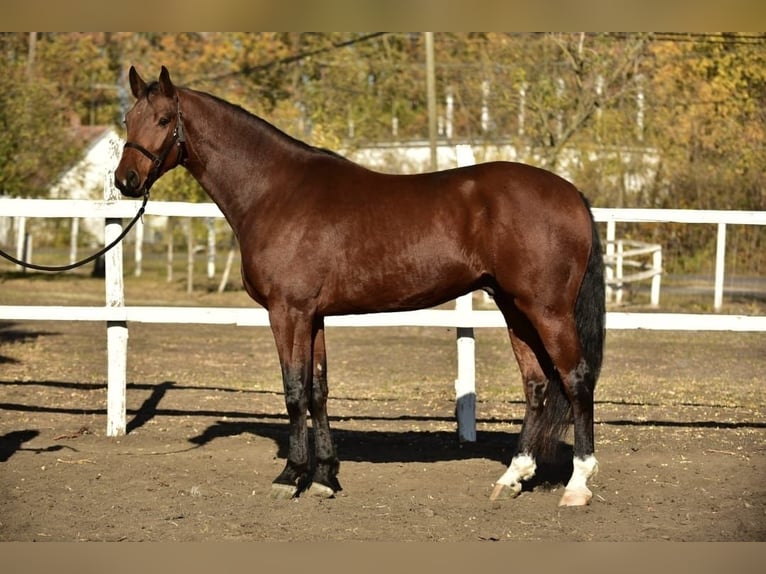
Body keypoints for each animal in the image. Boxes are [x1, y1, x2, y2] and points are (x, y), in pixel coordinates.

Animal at [115, 66, 606, 507]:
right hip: (514, 308)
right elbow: (318, 390)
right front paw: (324, 478)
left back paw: (578, 485)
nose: (126, 181)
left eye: (164, 119)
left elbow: (293, 390)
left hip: (547, 310)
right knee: (537, 384)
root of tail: (571, 194)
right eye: (127, 120)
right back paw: (513, 477)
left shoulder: (287, 312)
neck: (274, 191)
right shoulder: (312, 315)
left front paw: (290, 476)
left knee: (576, 379)